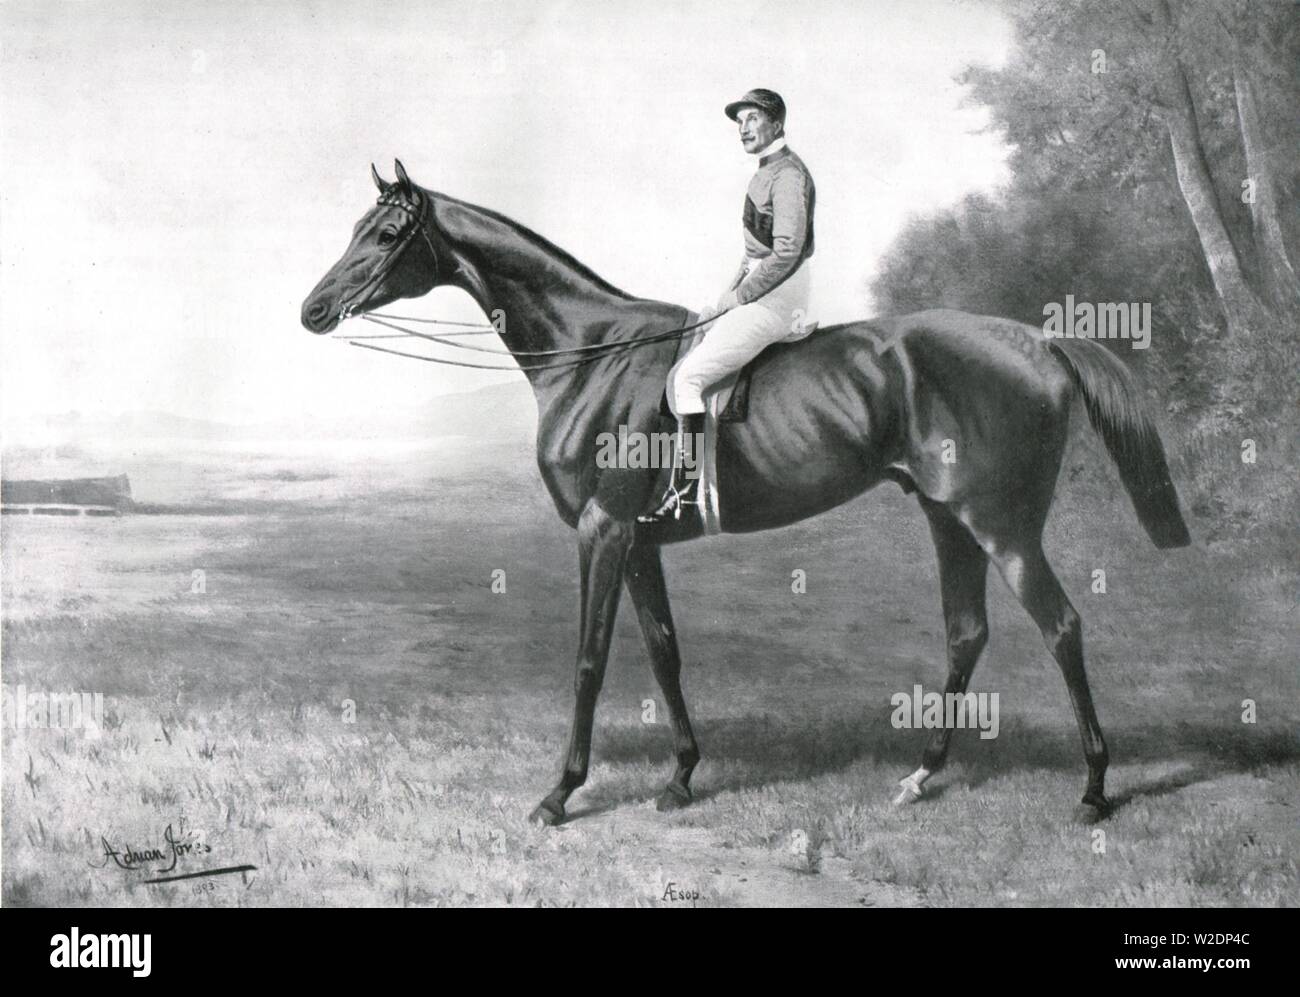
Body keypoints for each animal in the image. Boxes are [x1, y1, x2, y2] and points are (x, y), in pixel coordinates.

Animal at [301, 157, 1190, 826]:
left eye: (386, 232)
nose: (313, 308)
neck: (591, 354)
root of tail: (1038, 340)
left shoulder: (602, 530)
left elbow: (591, 657)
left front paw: (560, 794)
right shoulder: (639, 541)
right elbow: (664, 650)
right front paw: (680, 777)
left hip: (1002, 525)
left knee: (1063, 627)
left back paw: (1094, 790)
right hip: (949, 520)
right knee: (967, 632)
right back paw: (920, 775)